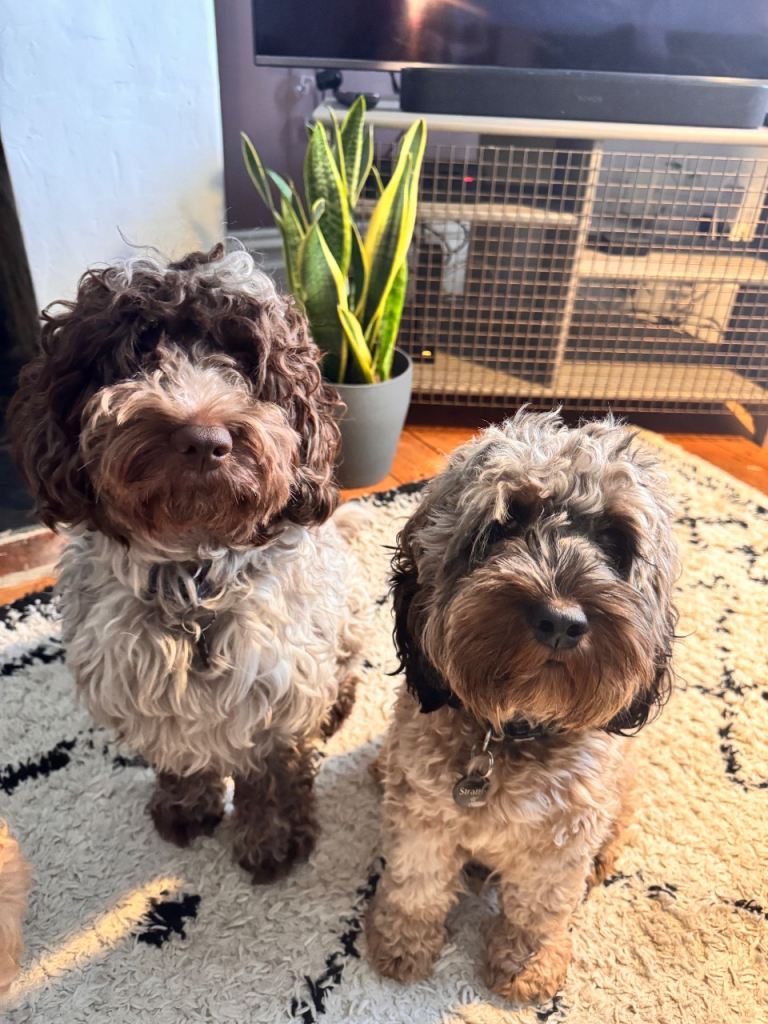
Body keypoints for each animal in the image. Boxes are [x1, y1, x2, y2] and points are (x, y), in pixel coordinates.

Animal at [9, 244, 364, 883]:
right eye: (139, 349)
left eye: (244, 356)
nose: (203, 439)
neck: (193, 580)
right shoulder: (138, 679)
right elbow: (179, 754)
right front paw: (188, 805)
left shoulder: (280, 680)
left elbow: (272, 771)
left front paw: (273, 838)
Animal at [365, 410, 678, 1003]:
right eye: (504, 526)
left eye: (615, 539)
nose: (561, 620)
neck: (510, 729)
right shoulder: (423, 820)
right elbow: (417, 884)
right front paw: (403, 942)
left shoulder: (561, 841)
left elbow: (538, 908)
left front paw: (526, 963)